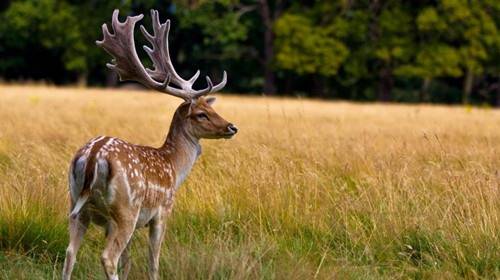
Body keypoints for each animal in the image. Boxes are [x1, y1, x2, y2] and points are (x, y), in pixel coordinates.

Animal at [62, 9, 238, 278]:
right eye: (201, 114)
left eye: (211, 108)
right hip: (127, 208)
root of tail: (93, 156)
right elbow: (153, 260)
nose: (231, 127)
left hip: (77, 205)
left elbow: (127, 261)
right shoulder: (163, 210)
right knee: (108, 257)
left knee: (70, 253)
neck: (174, 167)